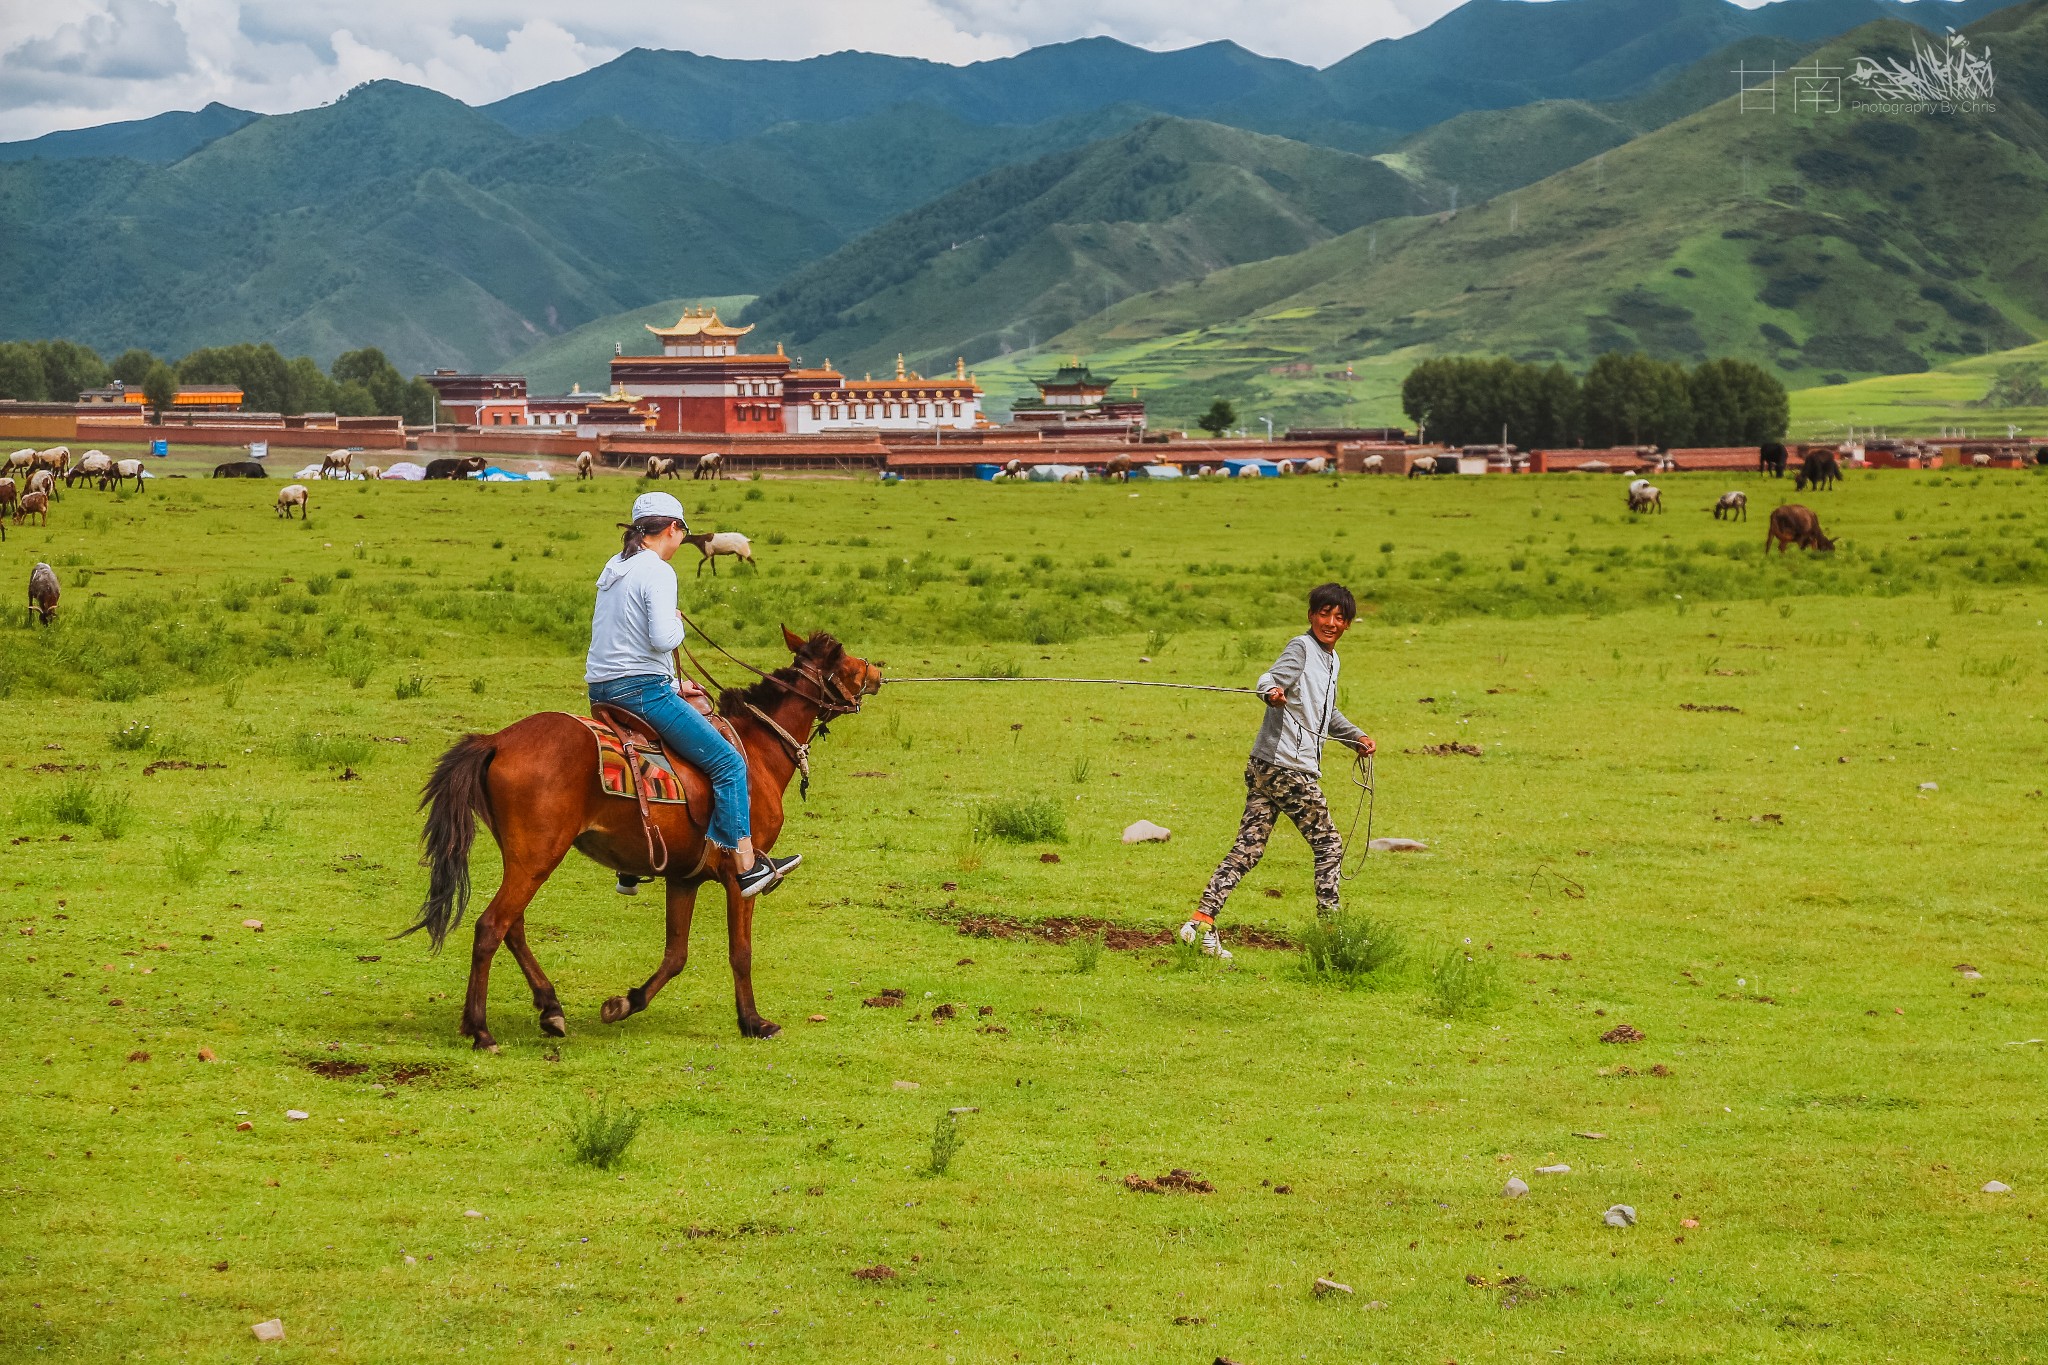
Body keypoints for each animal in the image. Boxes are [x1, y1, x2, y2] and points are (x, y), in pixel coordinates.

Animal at [401, 634, 880, 1055]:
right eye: (844, 658)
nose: (876, 670)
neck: (757, 751)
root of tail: (497, 740)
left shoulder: (684, 877)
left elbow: (676, 955)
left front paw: (623, 1004)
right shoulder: (737, 877)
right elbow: (740, 952)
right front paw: (753, 1022)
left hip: (523, 858)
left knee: (511, 926)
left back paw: (550, 1008)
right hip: (537, 857)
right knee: (491, 927)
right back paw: (481, 1030)